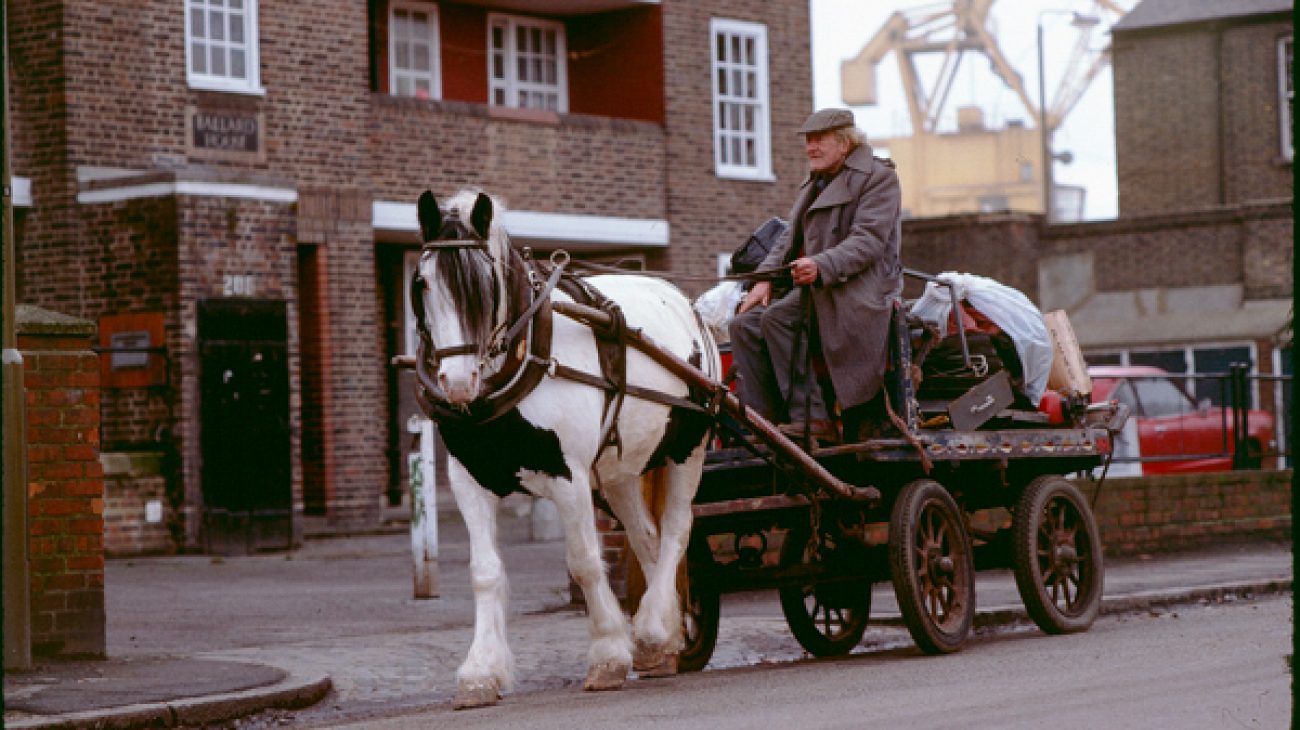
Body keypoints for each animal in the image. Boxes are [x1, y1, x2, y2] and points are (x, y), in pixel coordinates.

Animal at [410, 187, 722, 706]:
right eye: (421, 283)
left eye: (485, 284)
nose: (456, 382)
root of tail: (685, 303)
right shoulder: (468, 476)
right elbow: (484, 570)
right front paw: (480, 671)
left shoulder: (568, 473)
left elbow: (585, 562)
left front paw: (609, 655)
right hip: (619, 470)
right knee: (647, 536)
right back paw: (664, 640)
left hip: (688, 449)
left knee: (677, 528)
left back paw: (653, 628)